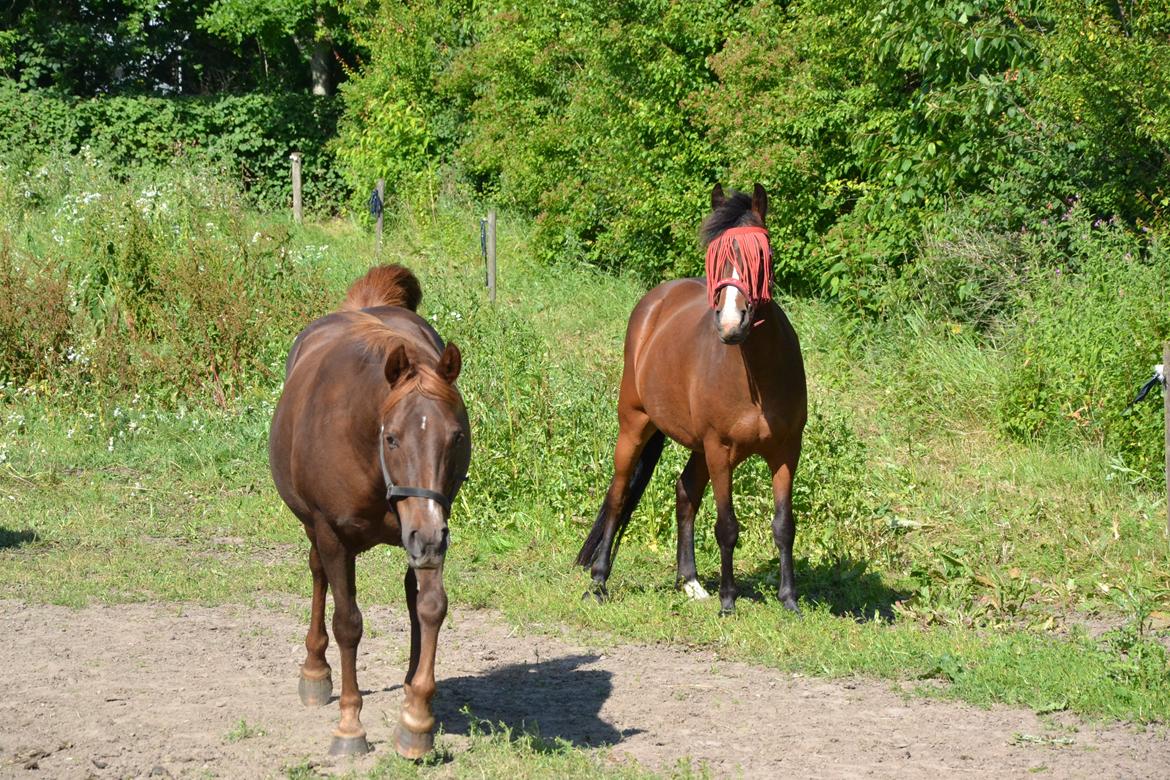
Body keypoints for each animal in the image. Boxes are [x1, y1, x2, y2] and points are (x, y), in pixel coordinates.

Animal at [269, 264, 470, 757]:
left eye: (456, 435)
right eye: (392, 437)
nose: (429, 538)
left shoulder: (428, 526)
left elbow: (430, 607)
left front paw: (417, 716)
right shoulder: (332, 533)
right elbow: (348, 624)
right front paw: (349, 726)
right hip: (317, 530)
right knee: (318, 574)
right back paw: (315, 671)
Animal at [573, 184, 804, 617]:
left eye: (761, 255)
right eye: (714, 257)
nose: (730, 324)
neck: (758, 378)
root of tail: (655, 303)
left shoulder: (786, 451)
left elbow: (784, 526)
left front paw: (789, 600)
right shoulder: (720, 450)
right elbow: (727, 526)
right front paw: (729, 601)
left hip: (698, 446)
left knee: (684, 492)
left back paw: (690, 582)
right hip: (636, 426)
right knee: (618, 495)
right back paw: (598, 581)